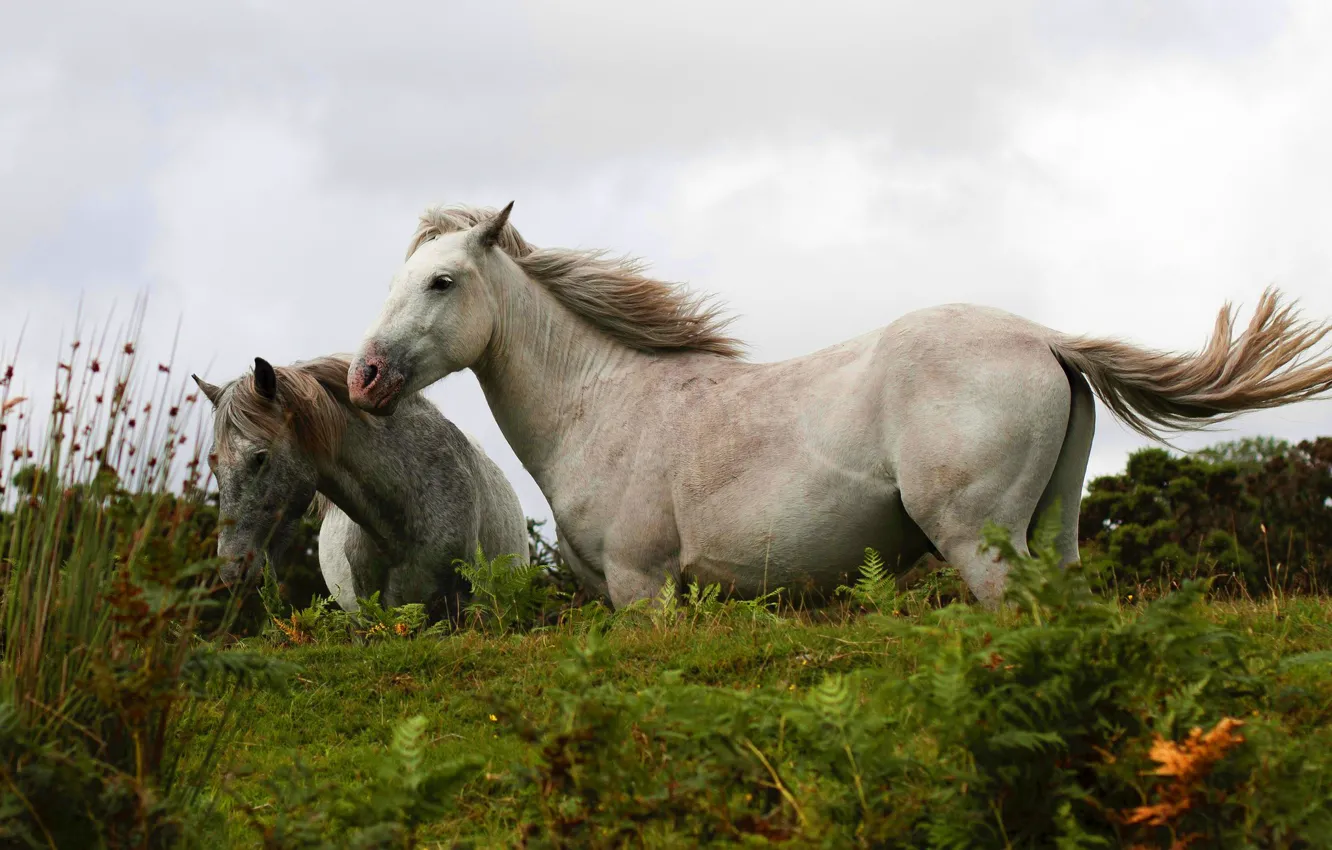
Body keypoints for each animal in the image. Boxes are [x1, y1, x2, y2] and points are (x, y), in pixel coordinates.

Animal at [345, 203, 1332, 608]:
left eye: (439, 282)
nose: (363, 378)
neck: (605, 405)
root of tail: (1043, 338)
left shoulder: (643, 588)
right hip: (1056, 534)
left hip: (979, 542)